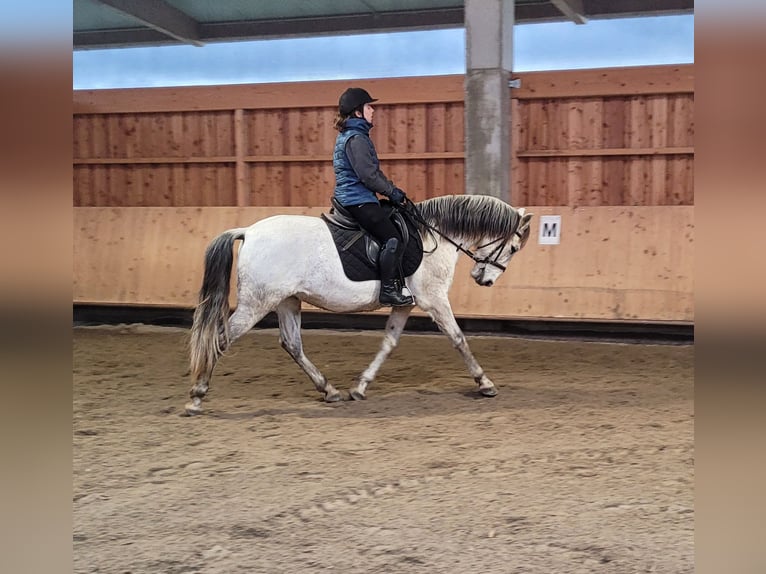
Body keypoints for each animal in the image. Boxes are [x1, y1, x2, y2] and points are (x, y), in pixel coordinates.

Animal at [186, 194, 533, 415]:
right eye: (514, 248)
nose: (484, 279)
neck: (433, 235)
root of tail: (248, 231)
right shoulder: (433, 298)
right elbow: (458, 338)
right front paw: (485, 383)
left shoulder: (405, 303)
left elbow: (389, 343)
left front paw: (360, 387)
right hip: (257, 303)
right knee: (220, 339)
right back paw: (196, 397)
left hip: (287, 301)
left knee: (292, 344)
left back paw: (329, 390)